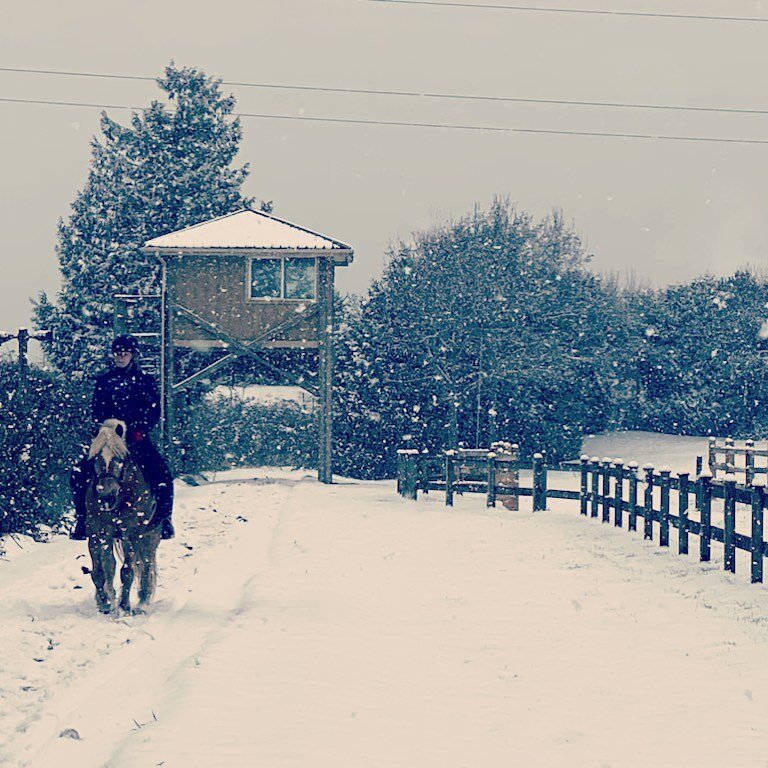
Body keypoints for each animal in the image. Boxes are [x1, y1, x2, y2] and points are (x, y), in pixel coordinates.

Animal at [85, 416, 161, 616]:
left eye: (119, 458)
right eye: (96, 458)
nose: (106, 497)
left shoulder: (132, 533)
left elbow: (127, 571)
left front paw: (124, 606)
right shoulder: (97, 533)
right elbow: (100, 571)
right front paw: (105, 603)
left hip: (150, 536)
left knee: (147, 563)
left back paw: (143, 601)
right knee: (111, 566)